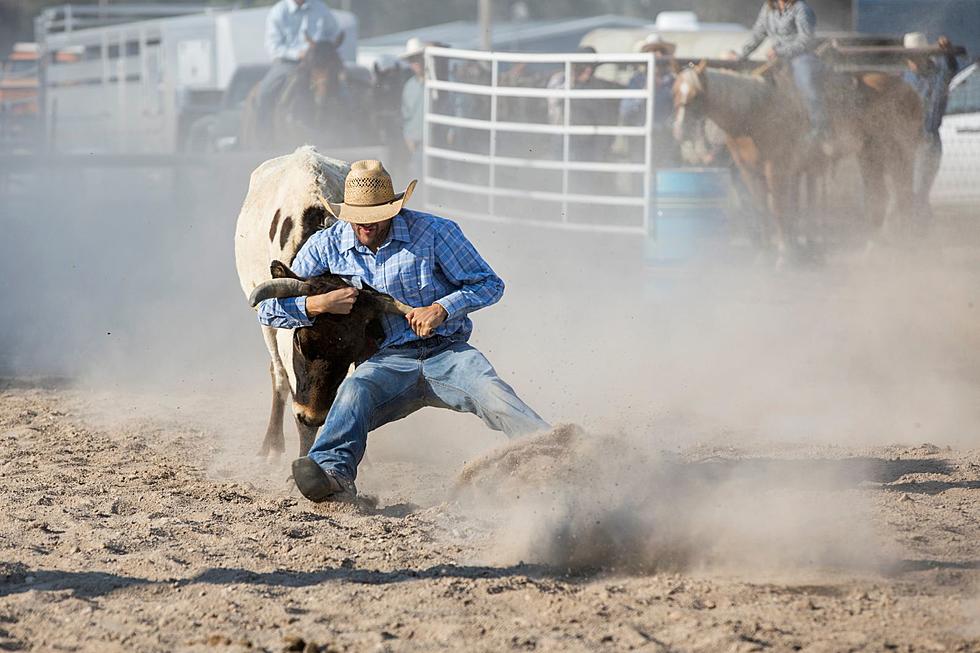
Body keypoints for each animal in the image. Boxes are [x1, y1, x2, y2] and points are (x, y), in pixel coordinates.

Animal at [668, 60, 924, 262]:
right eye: (674, 92)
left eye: (697, 95)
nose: (680, 131)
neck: (754, 111)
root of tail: (907, 89)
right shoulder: (749, 170)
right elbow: (762, 207)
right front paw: (765, 254)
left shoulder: (777, 168)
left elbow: (780, 208)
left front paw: (784, 255)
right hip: (870, 155)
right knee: (879, 197)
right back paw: (874, 249)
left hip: (898, 152)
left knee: (903, 196)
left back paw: (908, 246)